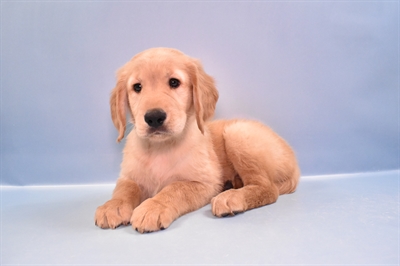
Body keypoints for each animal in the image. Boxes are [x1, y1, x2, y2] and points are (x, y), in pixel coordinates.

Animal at [94, 47, 300, 233]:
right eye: (137, 87)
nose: (154, 117)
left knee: (267, 188)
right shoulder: (129, 176)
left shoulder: (205, 183)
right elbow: (124, 189)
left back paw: (231, 197)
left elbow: (175, 188)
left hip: (238, 133)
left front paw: (153, 207)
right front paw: (113, 205)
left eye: (174, 82)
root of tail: (296, 166)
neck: (161, 146)